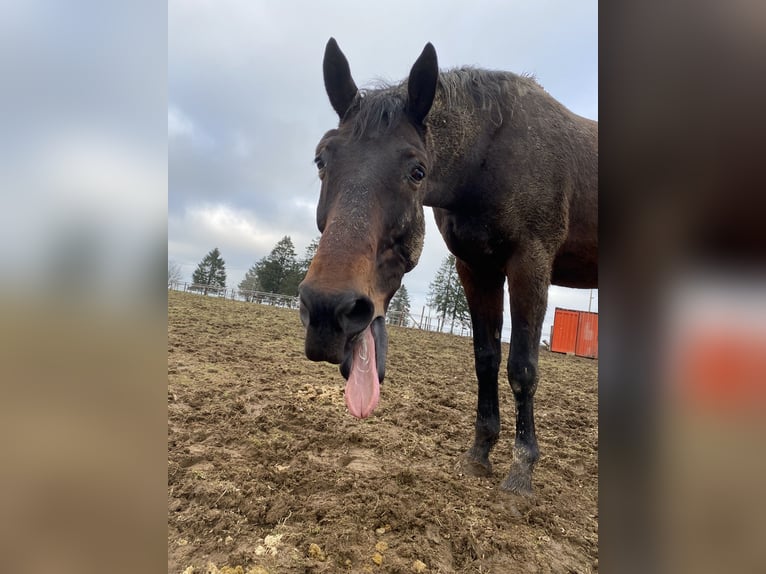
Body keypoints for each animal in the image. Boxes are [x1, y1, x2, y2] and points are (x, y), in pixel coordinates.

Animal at [300, 38, 600, 496]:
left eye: (417, 170)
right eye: (321, 160)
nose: (326, 310)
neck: (490, 157)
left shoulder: (530, 262)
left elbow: (522, 368)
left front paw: (521, 470)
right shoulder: (476, 268)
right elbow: (485, 359)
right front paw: (479, 453)